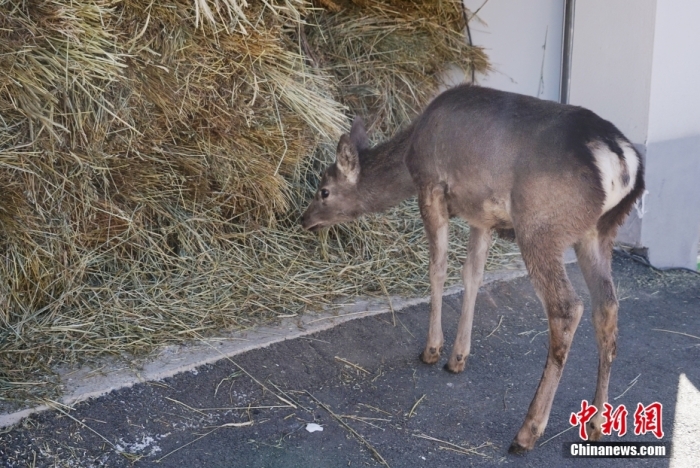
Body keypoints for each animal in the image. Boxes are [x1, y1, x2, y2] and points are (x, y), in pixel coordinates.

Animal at [300, 85, 644, 454]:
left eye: (324, 190)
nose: (304, 219)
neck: (409, 155)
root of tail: (621, 160)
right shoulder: (481, 212)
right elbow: (472, 274)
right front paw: (458, 357)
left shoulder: (432, 186)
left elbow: (438, 267)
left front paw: (432, 350)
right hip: (599, 232)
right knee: (607, 306)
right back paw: (596, 424)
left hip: (541, 225)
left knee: (567, 307)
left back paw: (527, 432)